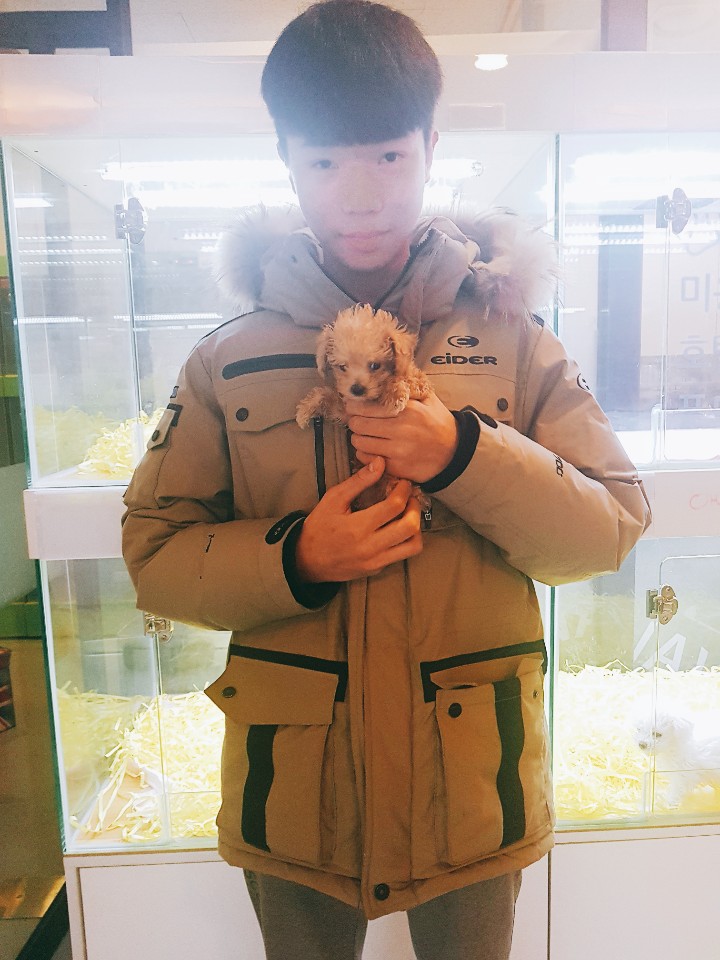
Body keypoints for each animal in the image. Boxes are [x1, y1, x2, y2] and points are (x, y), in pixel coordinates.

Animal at [296, 304, 433, 509]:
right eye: (342, 367)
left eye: (375, 365)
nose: (357, 388)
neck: (370, 400)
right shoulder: (346, 411)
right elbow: (325, 394)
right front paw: (305, 410)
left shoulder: (419, 382)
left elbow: (407, 379)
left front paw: (394, 394)